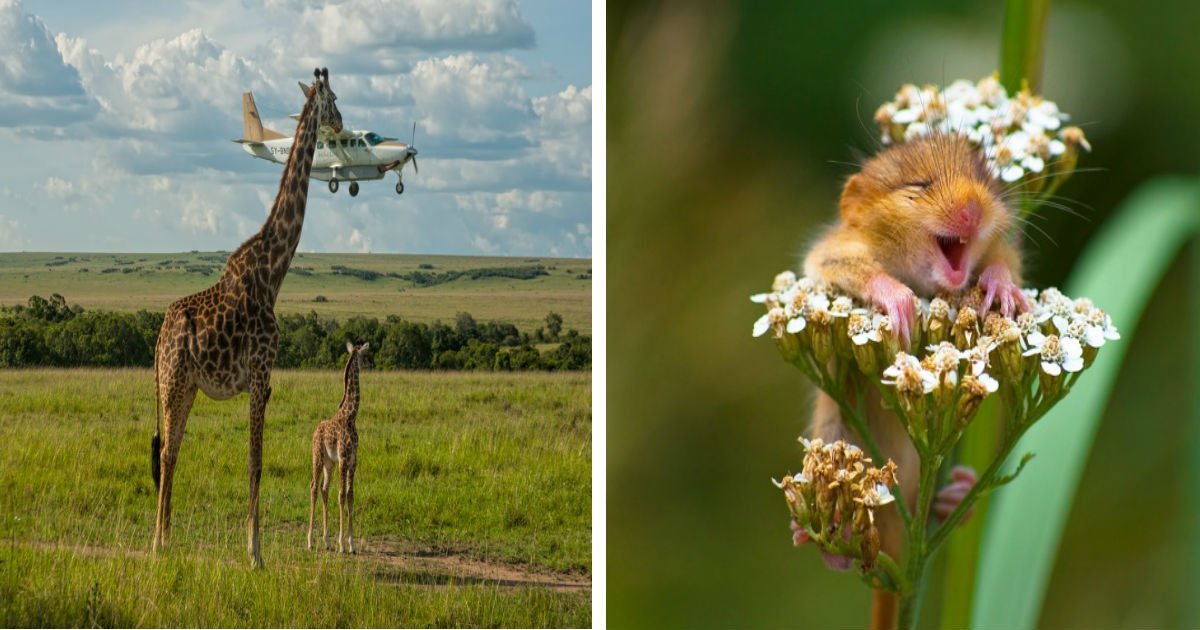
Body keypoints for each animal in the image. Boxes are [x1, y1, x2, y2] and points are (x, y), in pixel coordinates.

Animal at [152, 67, 343, 564]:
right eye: (334, 98)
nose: (339, 123)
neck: (274, 271)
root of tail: (158, 337)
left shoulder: (262, 380)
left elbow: (255, 460)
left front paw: (254, 547)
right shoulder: (260, 372)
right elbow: (256, 461)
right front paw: (255, 553)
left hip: (186, 386)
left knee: (172, 451)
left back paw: (166, 540)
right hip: (172, 381)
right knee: (166, 453)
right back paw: (158, 543)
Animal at [309, 340, 364, 552]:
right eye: (365, 355)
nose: (371, 363)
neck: (351, 416)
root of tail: (315, 431)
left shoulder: (353, 460)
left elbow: (350, 495)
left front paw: (352, 544)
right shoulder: (343, 459)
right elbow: (341, 494)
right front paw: (342, 544)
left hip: (328, 463)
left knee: (324, 489)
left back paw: (325, 541)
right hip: (317, 458)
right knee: (314, 487)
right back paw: (310, 541)